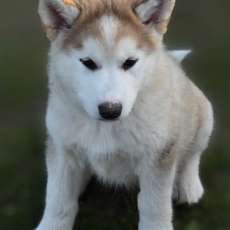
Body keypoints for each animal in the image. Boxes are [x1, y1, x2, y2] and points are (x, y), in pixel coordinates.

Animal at [36, 0, 214, 230]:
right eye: (88, 62)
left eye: (130, 62)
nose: (110, 110)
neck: (106, 128)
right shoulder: (62, 149)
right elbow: (58, 199)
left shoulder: (158, 156)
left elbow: (154, 204)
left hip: (203, 115)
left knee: (193, 154)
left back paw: (189, 185)